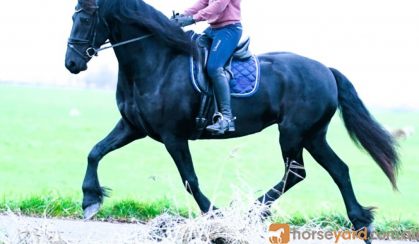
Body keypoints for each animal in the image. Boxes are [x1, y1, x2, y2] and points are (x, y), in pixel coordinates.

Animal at [65, 0, 400, 239]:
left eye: (85, 18)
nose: (71, 64)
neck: (159, 62)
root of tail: (326, 70)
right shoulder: (133, 127)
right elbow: (95, 151)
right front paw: (90, 199)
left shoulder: (174, 136)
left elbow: (190, 180)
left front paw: (216, 217)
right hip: (313, 136)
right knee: (338, 170)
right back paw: (360, 222)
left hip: (293, 133)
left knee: (296, 173)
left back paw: (251, 212)